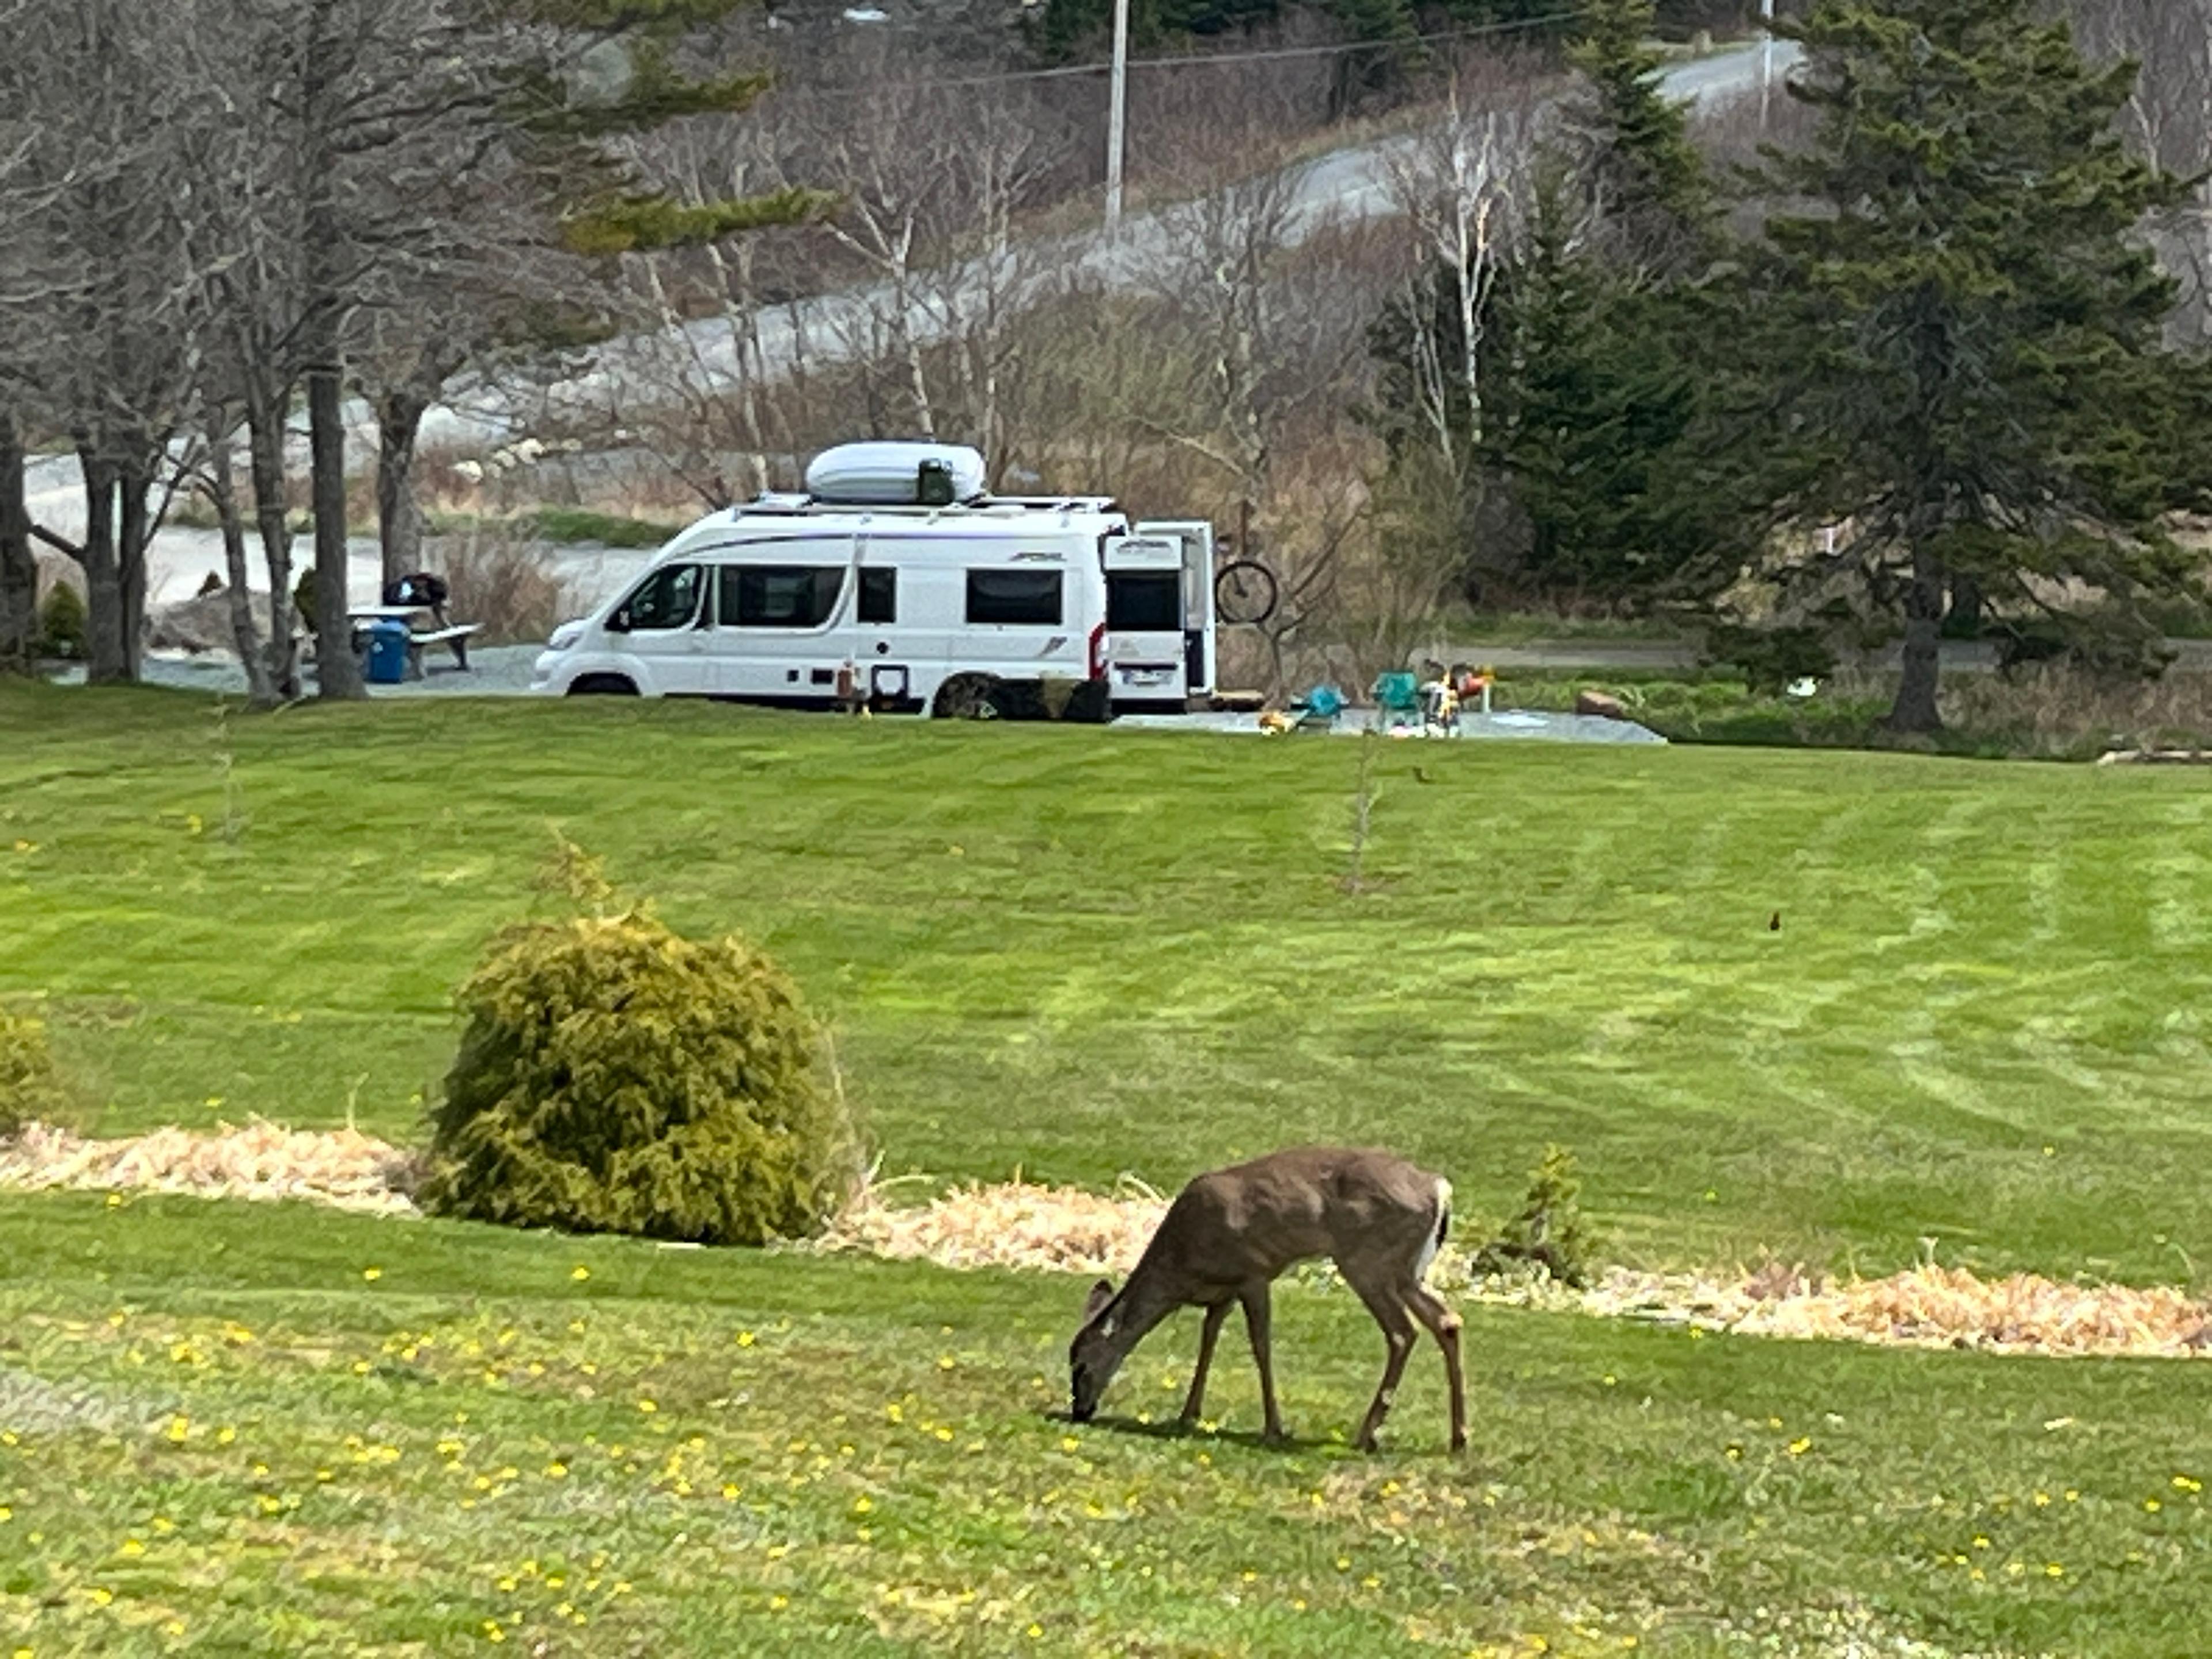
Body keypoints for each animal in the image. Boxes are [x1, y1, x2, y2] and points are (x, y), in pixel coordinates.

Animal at [1067, 1147, 1466, 1453]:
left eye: (1081, 1366)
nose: (1079, 1412)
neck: (1182, 1266)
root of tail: (1440, 1188)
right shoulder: (1223, 1294)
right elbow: (1208, 1341)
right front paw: (1189, 1414)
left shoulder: (1253, 1273)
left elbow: (1261, 1347)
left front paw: (1274, 1428)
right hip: (1406, 1271)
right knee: (1446, 1321)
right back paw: (1458, 1439)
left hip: (1369, 1262)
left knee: (1402, 1332)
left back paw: (1366, 1435)